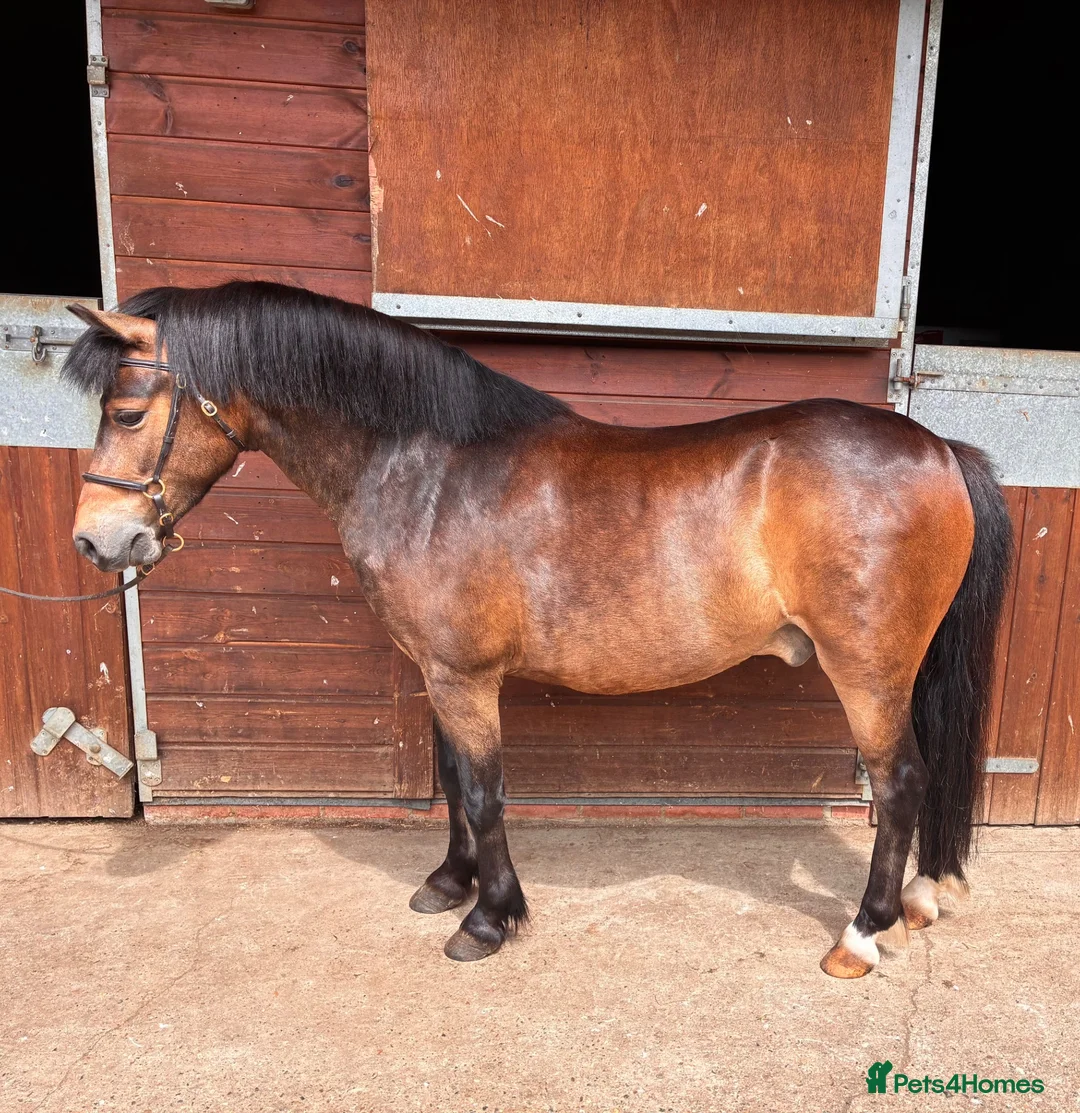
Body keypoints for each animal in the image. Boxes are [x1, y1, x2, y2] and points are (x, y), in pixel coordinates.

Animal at [63, 281, 1012, 977]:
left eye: (129, 412)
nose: (95, 542)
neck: (428, 466)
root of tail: (938, 449)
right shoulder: (440, 672)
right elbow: (454, 780)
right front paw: (449, 883)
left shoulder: (463, 674)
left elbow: (484, 790)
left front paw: (489, 917)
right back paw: (918, 900)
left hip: (868, 670)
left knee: (899, 784)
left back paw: (861, 934)